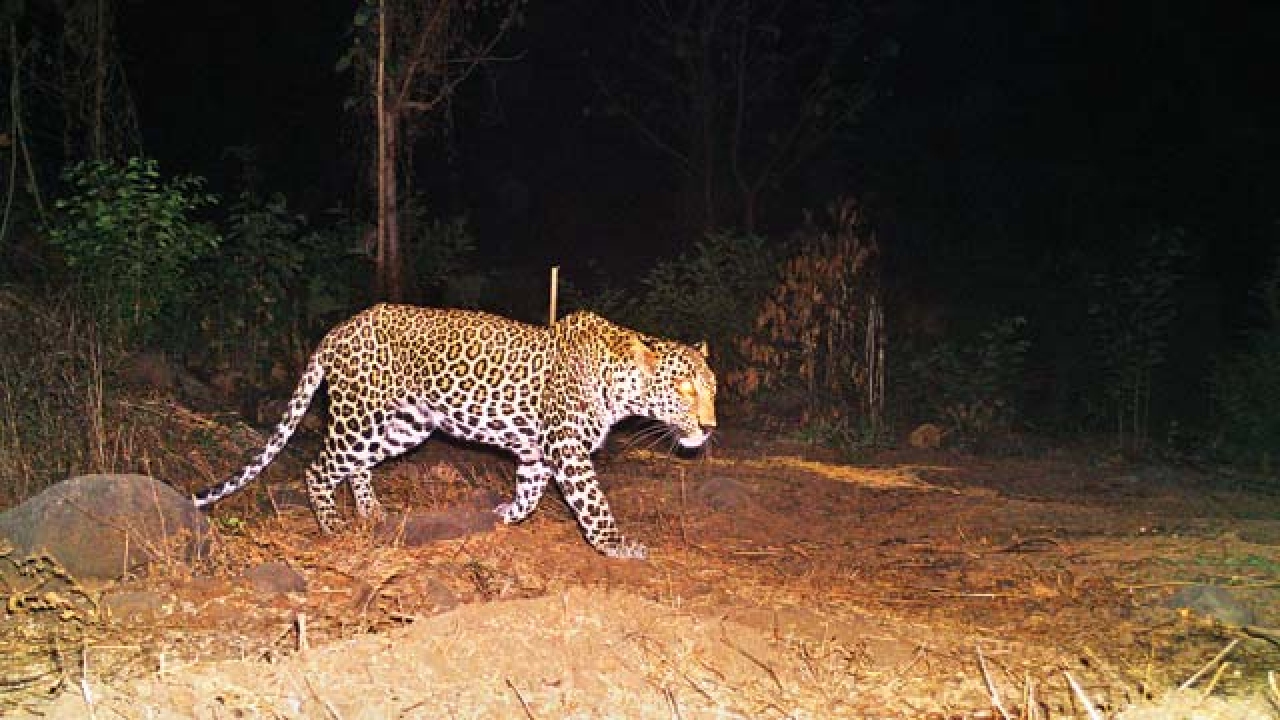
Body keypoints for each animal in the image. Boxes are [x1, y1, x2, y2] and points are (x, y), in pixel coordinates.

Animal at [189, 299, 716, 558]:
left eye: (712, 389)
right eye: (685, 389)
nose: (709, 428)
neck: (617, 383)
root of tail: (339, 329)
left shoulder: (537, 453)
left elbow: (529, 494)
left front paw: (505, 515)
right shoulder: (567, 449)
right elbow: (594, 504)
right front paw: (615, 545)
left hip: (403, 426)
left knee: (356, 467)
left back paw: (372, 512)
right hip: (360, 417)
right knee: (319, 468)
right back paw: (334, 527)